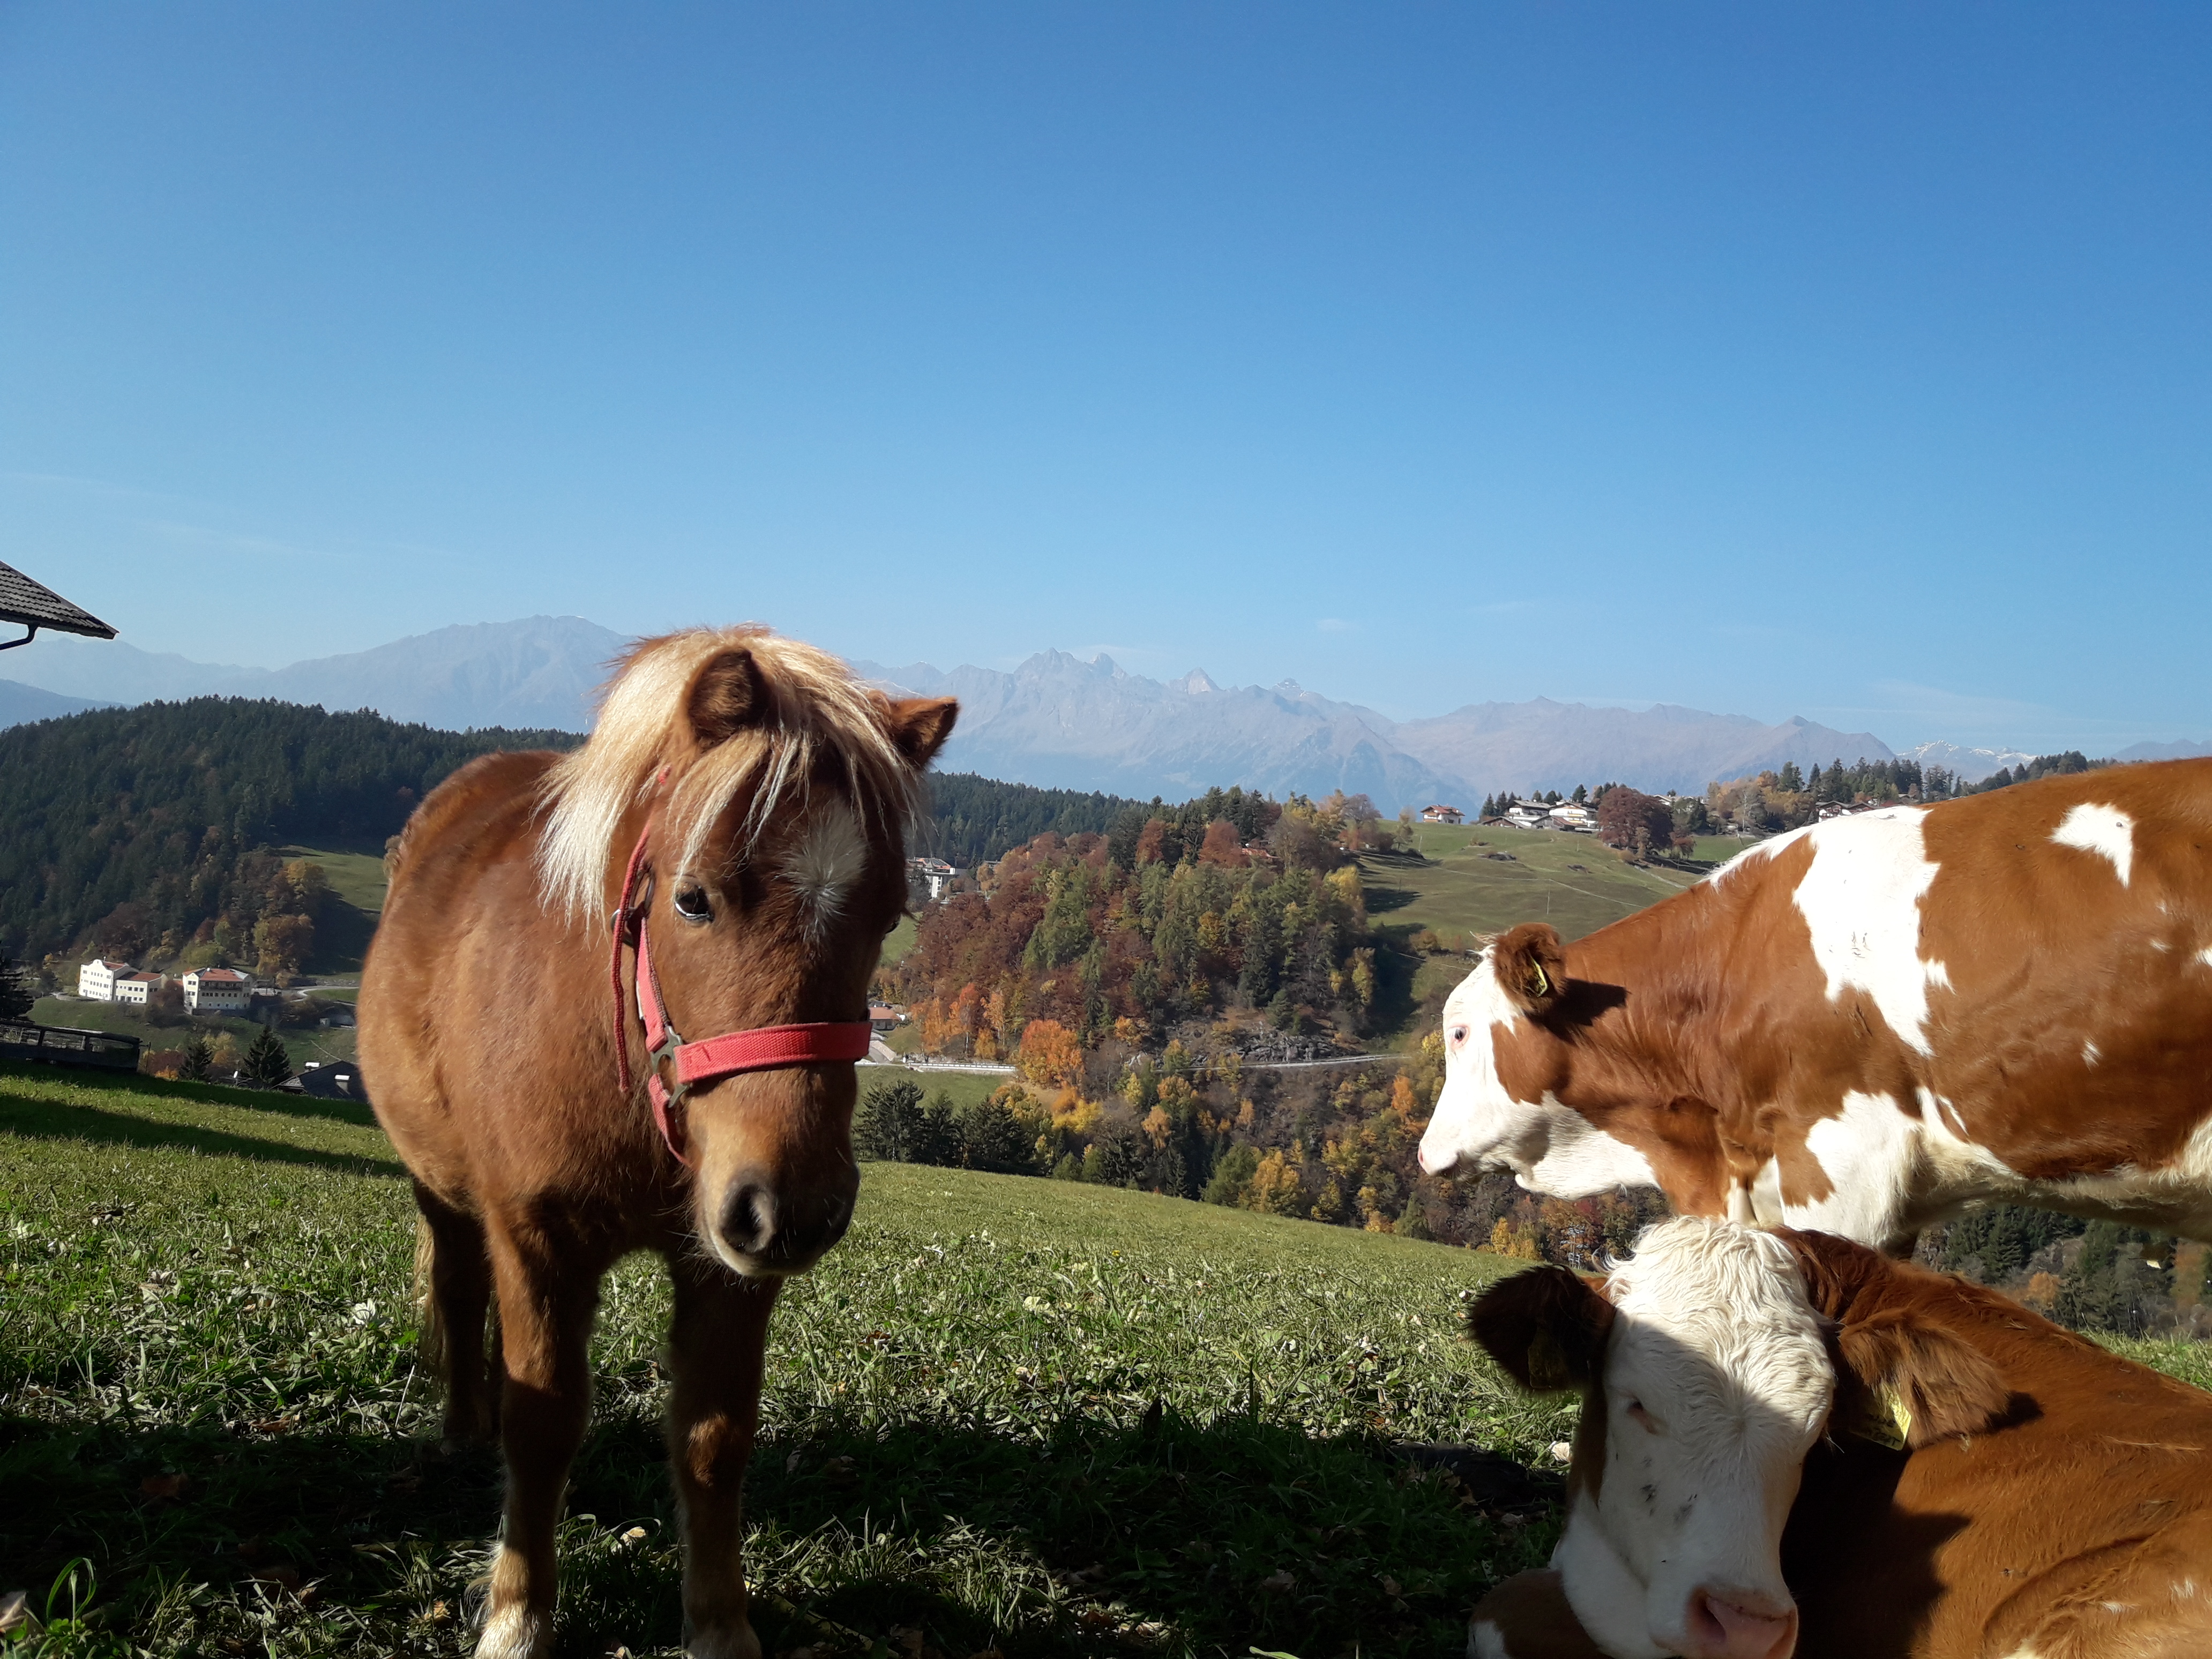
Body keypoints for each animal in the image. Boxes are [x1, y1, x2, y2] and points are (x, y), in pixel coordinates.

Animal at [358, 628, 955, 1659]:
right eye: (693, 900)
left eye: (888, 916)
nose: (796, 1205)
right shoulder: (538, 1242)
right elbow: (543, 1422)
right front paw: (516, 1615)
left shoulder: (729, 1265)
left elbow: (714, 1438)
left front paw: (719, 1625)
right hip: (440, 1185)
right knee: (461, 1285)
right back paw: (465, 1428)